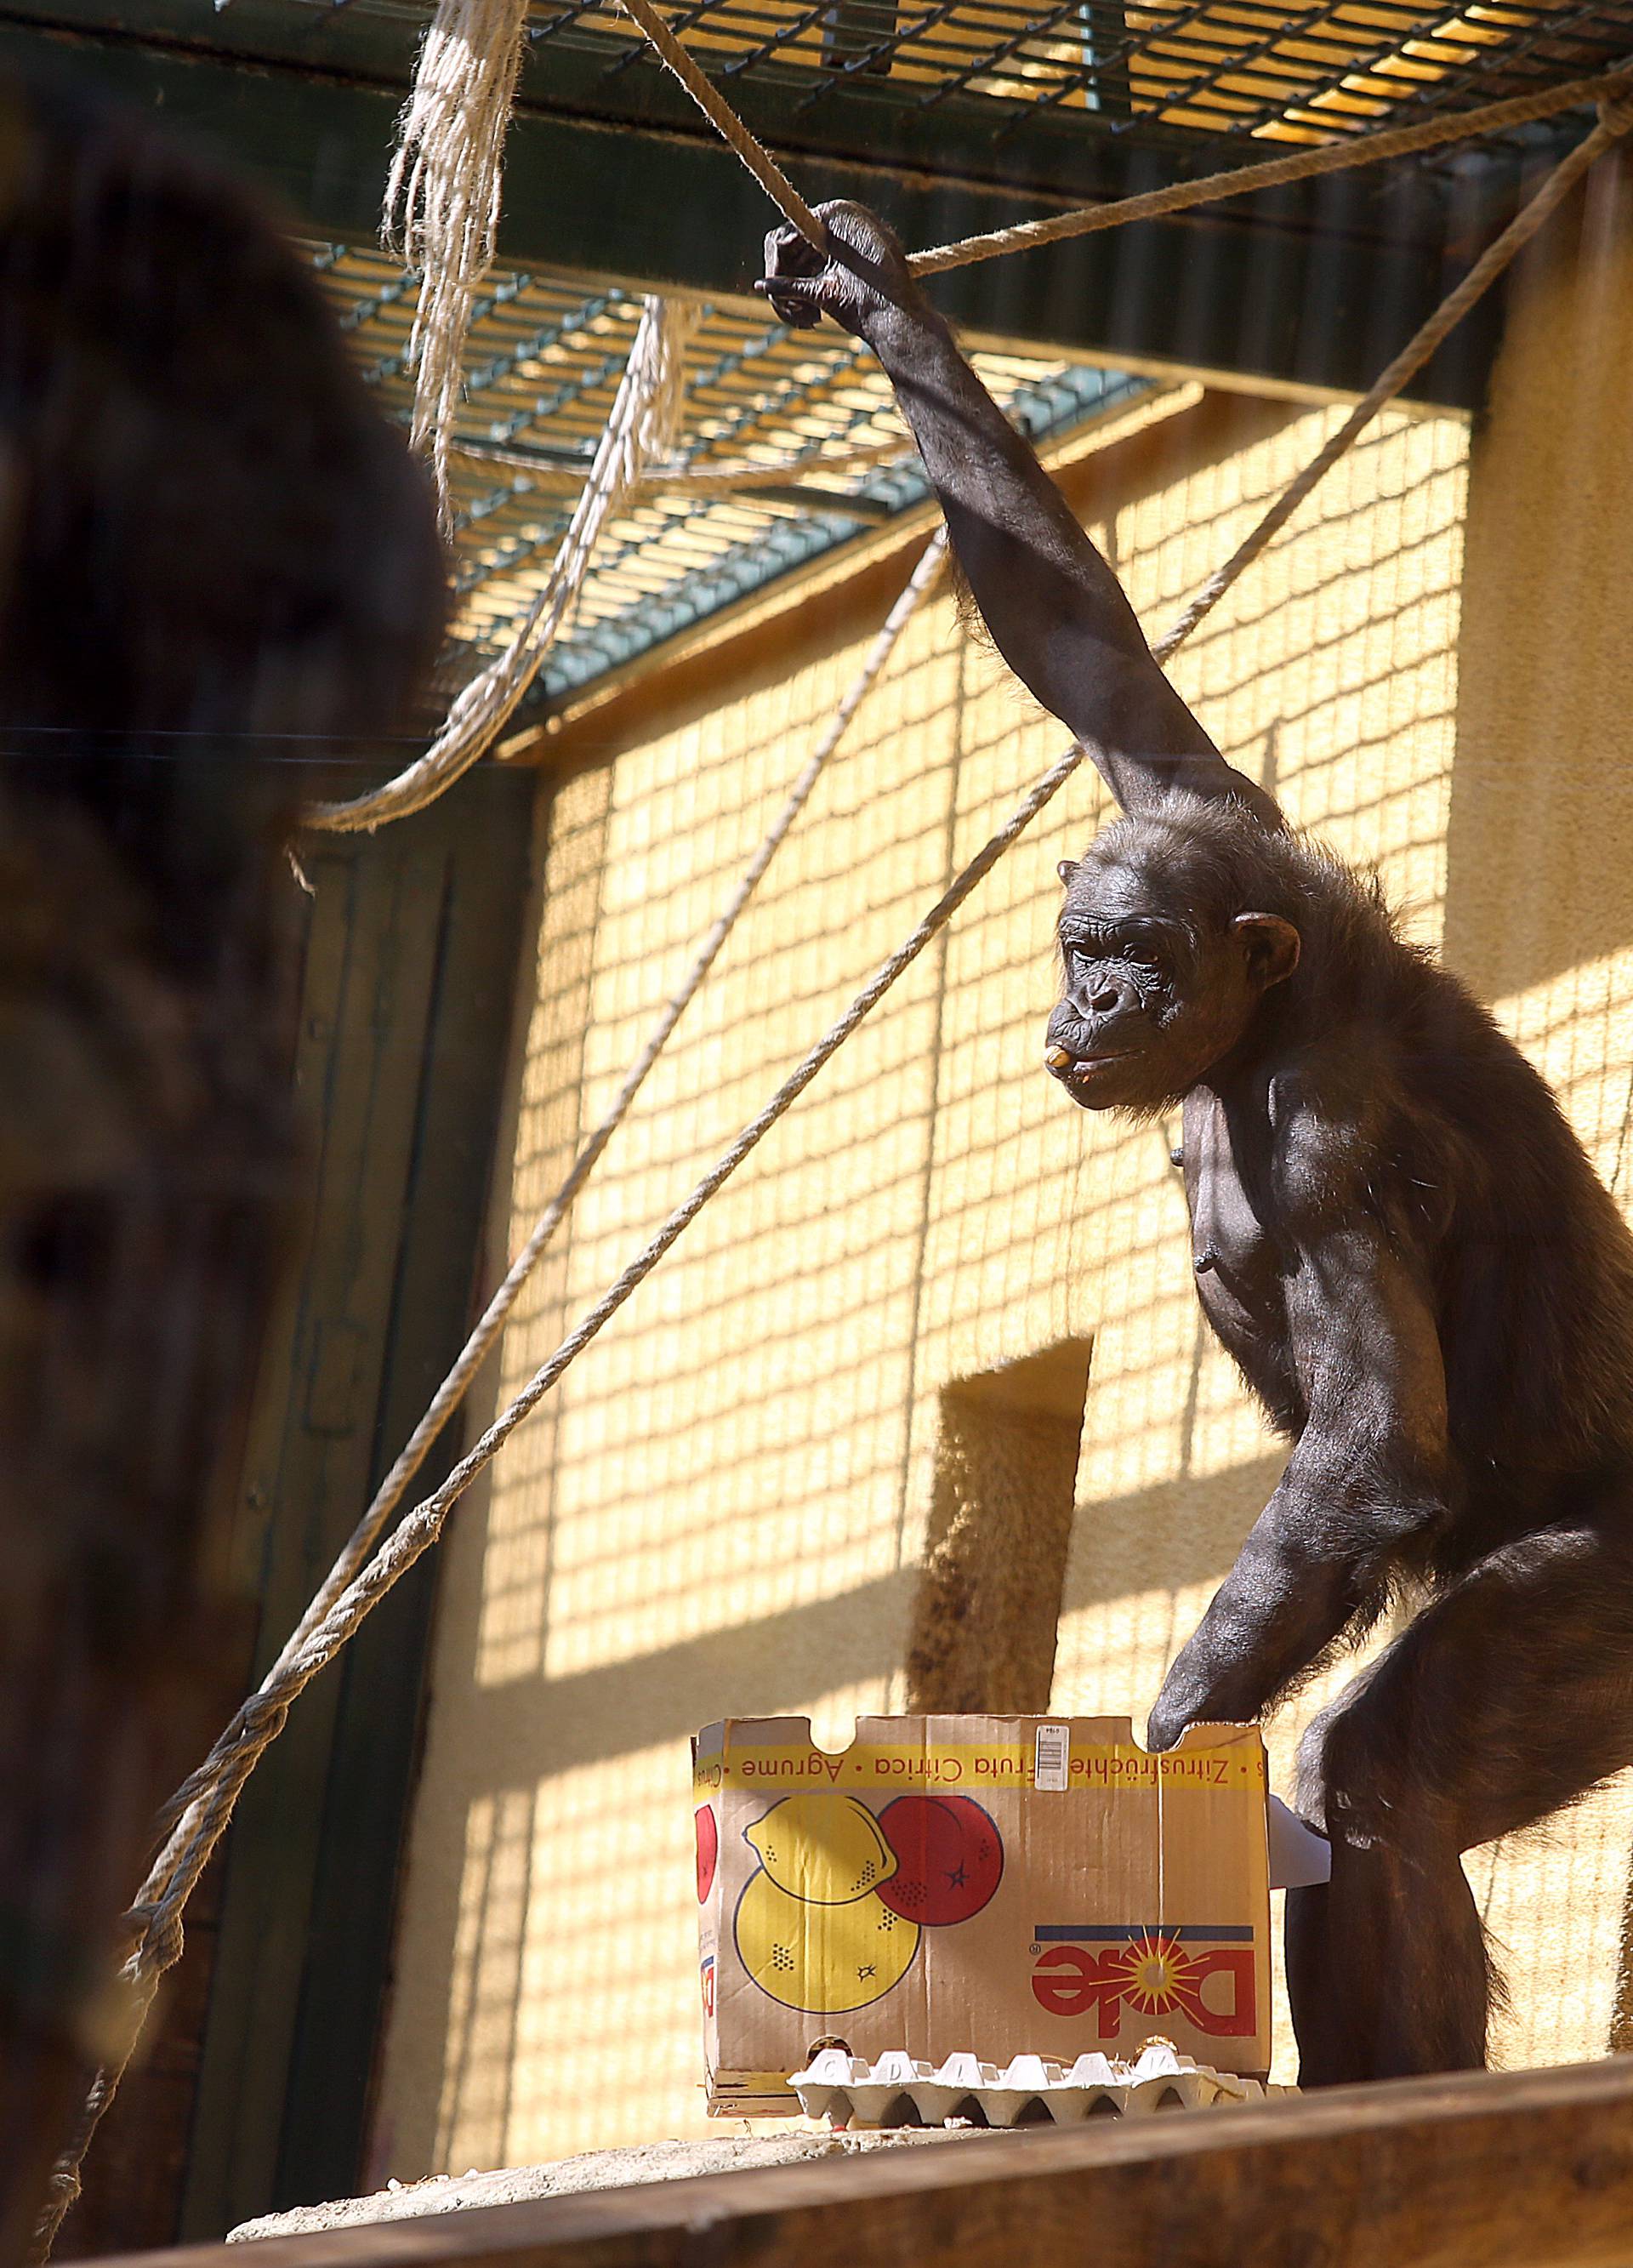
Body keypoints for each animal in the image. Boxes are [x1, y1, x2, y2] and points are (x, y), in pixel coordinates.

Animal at [766, 203, 1633, 2077]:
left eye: (1137, 958)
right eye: (1080, 946)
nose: (1091, 1005)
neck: (1274, 1010)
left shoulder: (1326, 1144)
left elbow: (1372, 1446)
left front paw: (1147, 1760)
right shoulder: (1203, 792)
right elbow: (1081, 638)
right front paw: (867, 287)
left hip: (1617, 1599)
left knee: (1390, 1773)